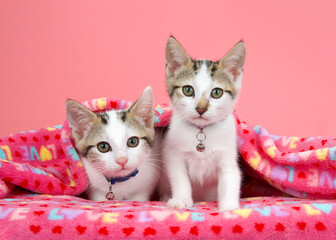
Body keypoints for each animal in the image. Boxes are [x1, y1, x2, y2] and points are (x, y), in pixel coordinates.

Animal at [163, 36, 245, 211]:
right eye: (188, 90)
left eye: (217, 92)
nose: (201, 109)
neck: (201, 130)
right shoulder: (173, 154)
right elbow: (180, 178)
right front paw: (181, 199)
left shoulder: (228, 156)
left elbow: (231, 177)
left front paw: (229, 207)